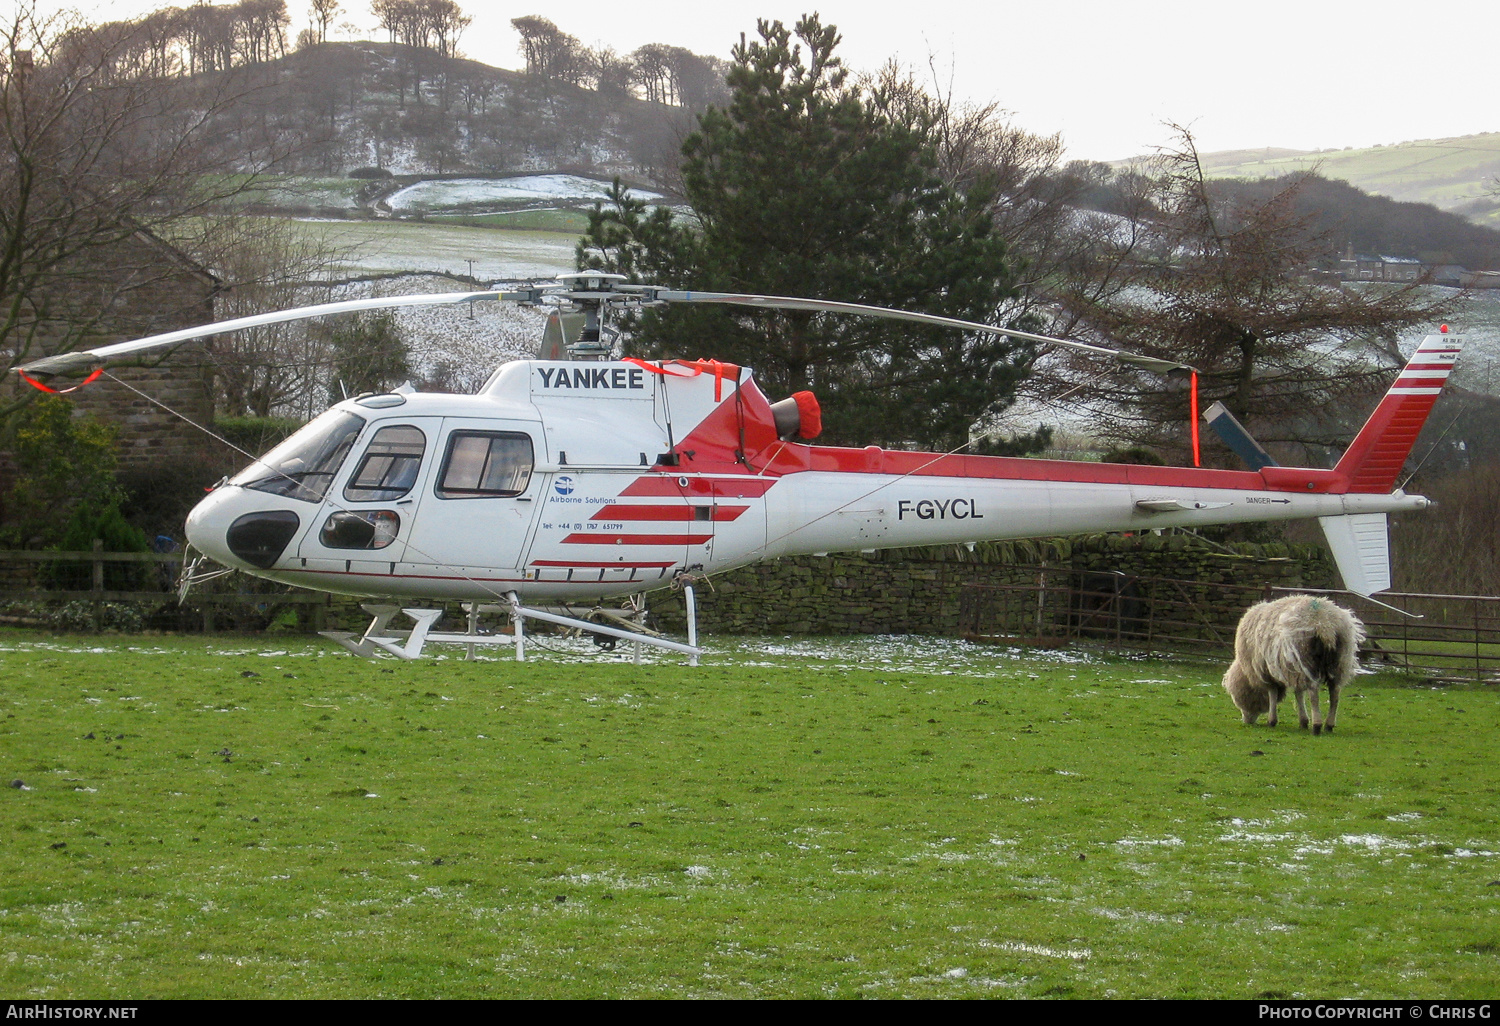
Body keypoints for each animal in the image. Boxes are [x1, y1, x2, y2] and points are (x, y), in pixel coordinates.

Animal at [1224, 597, 1368, 732]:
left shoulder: (1266, 671)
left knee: (1314, 693)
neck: (1246, 671)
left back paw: (1317, 725)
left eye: (1239, 697)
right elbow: (1298, 693)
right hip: (1340, 661)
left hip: (1305, 658)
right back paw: (1329, 725)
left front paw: (1272, 720)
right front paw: (1303, 721)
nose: (1246, 721)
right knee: (1335, 693)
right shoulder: (1292, 670)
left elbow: (1273, 693)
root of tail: (1324, 624)